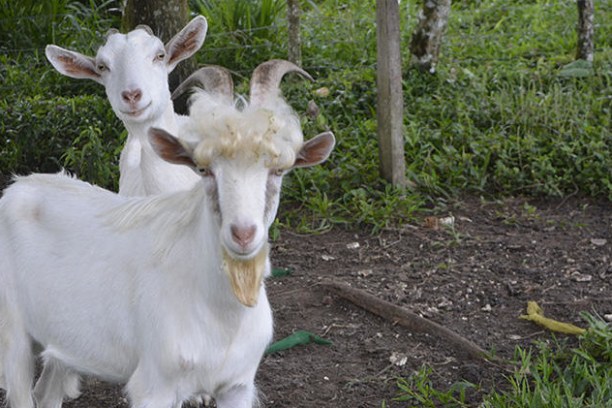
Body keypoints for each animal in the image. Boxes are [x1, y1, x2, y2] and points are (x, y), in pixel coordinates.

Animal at [0, 60, 334, 408]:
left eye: (279, 171)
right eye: (204, 170)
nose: (243, 234)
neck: (221, 314)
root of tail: (17, 186)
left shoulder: (238, 385)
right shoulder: (153, 385)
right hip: (11, 334)